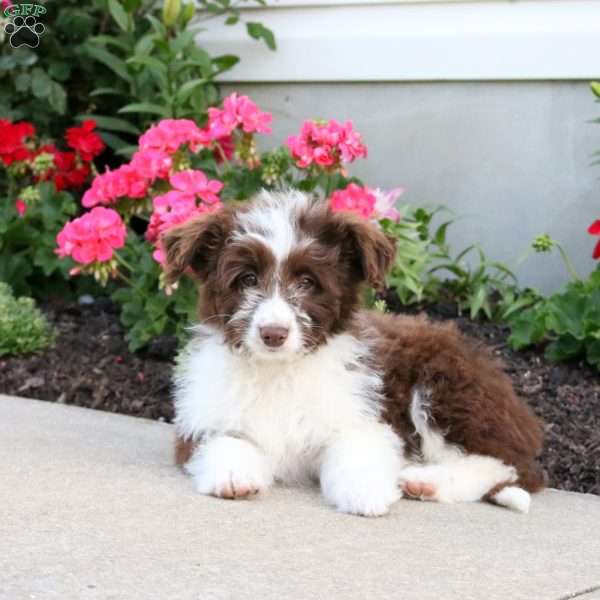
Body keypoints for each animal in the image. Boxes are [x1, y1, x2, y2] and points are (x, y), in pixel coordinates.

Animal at [163, 191, 544, 516]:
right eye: (247, 279)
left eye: (307, 282)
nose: (273, 334)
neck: (280, 370)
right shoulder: (199, 421)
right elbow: (225, 439)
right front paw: (234, 475)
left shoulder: (364, 413)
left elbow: (357, 447)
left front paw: (366, 490)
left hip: (448, 389)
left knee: (506, 465)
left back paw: (427, 480)